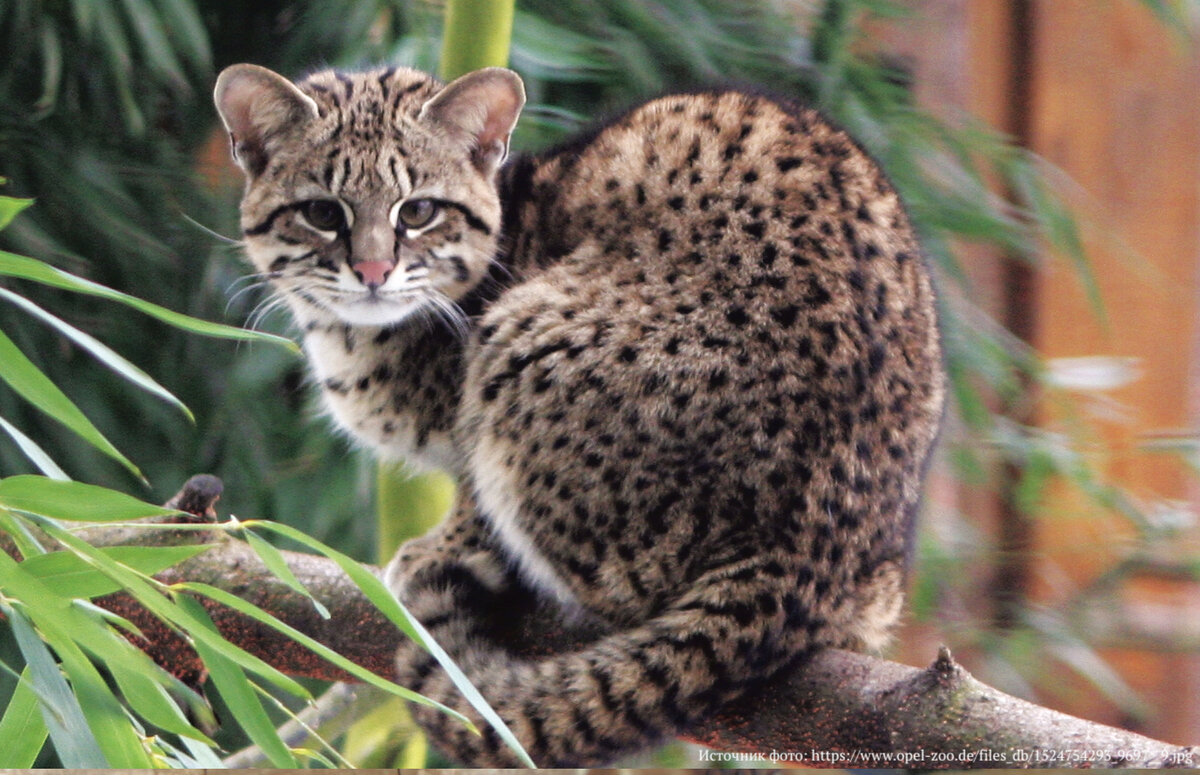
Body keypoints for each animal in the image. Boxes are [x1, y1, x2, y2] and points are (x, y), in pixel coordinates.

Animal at [216, 63, 945, 767]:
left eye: (418, 211)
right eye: (321, 212)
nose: (372, 270)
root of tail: (801, 563)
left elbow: (471, 494)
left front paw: (444, 547)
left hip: (526, 342)